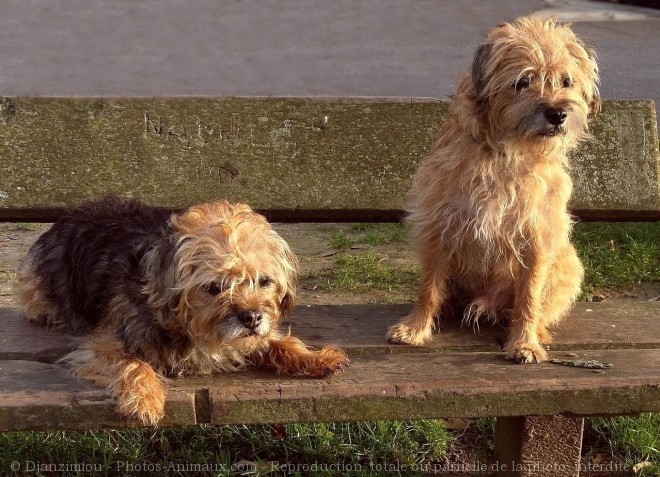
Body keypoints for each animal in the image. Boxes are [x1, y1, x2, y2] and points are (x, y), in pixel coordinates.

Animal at [15, 196, 348, 424]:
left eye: (264, 281)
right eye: (214, 287)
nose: (252, 318)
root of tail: (72, 212)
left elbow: (280, 342)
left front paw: (314, 357)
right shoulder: (101, 346)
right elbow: (132, 364)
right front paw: (146, 398)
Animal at [384, 16, 600, 362]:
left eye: (566, 81)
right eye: (523, 82)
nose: (558, 114)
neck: (507, 153)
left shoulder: (537, 236)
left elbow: (529, 295)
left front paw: (525, 343)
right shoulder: (438, 226)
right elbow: (428, 286)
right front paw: (415, 328)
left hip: (568, 261)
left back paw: (537, 330)